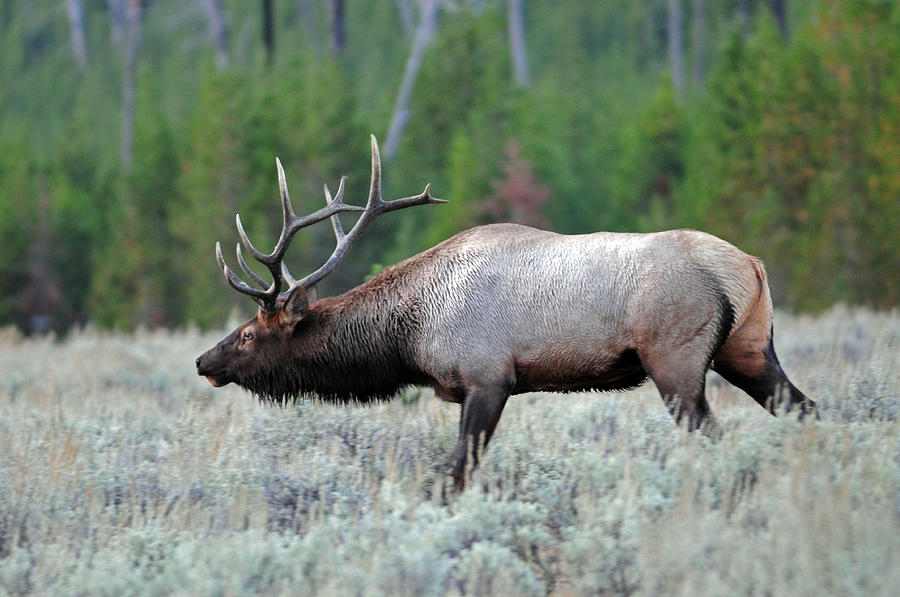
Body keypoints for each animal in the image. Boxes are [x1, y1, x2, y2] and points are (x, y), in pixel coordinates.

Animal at [197, 135, 816, 488]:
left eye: (249, 334)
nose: (204, 361)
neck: (410, 337)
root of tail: (749, 266)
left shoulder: (488, 377)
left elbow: (454, 472)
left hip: (676, 359)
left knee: (716, 433)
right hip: (748, 347)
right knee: (805, 408)